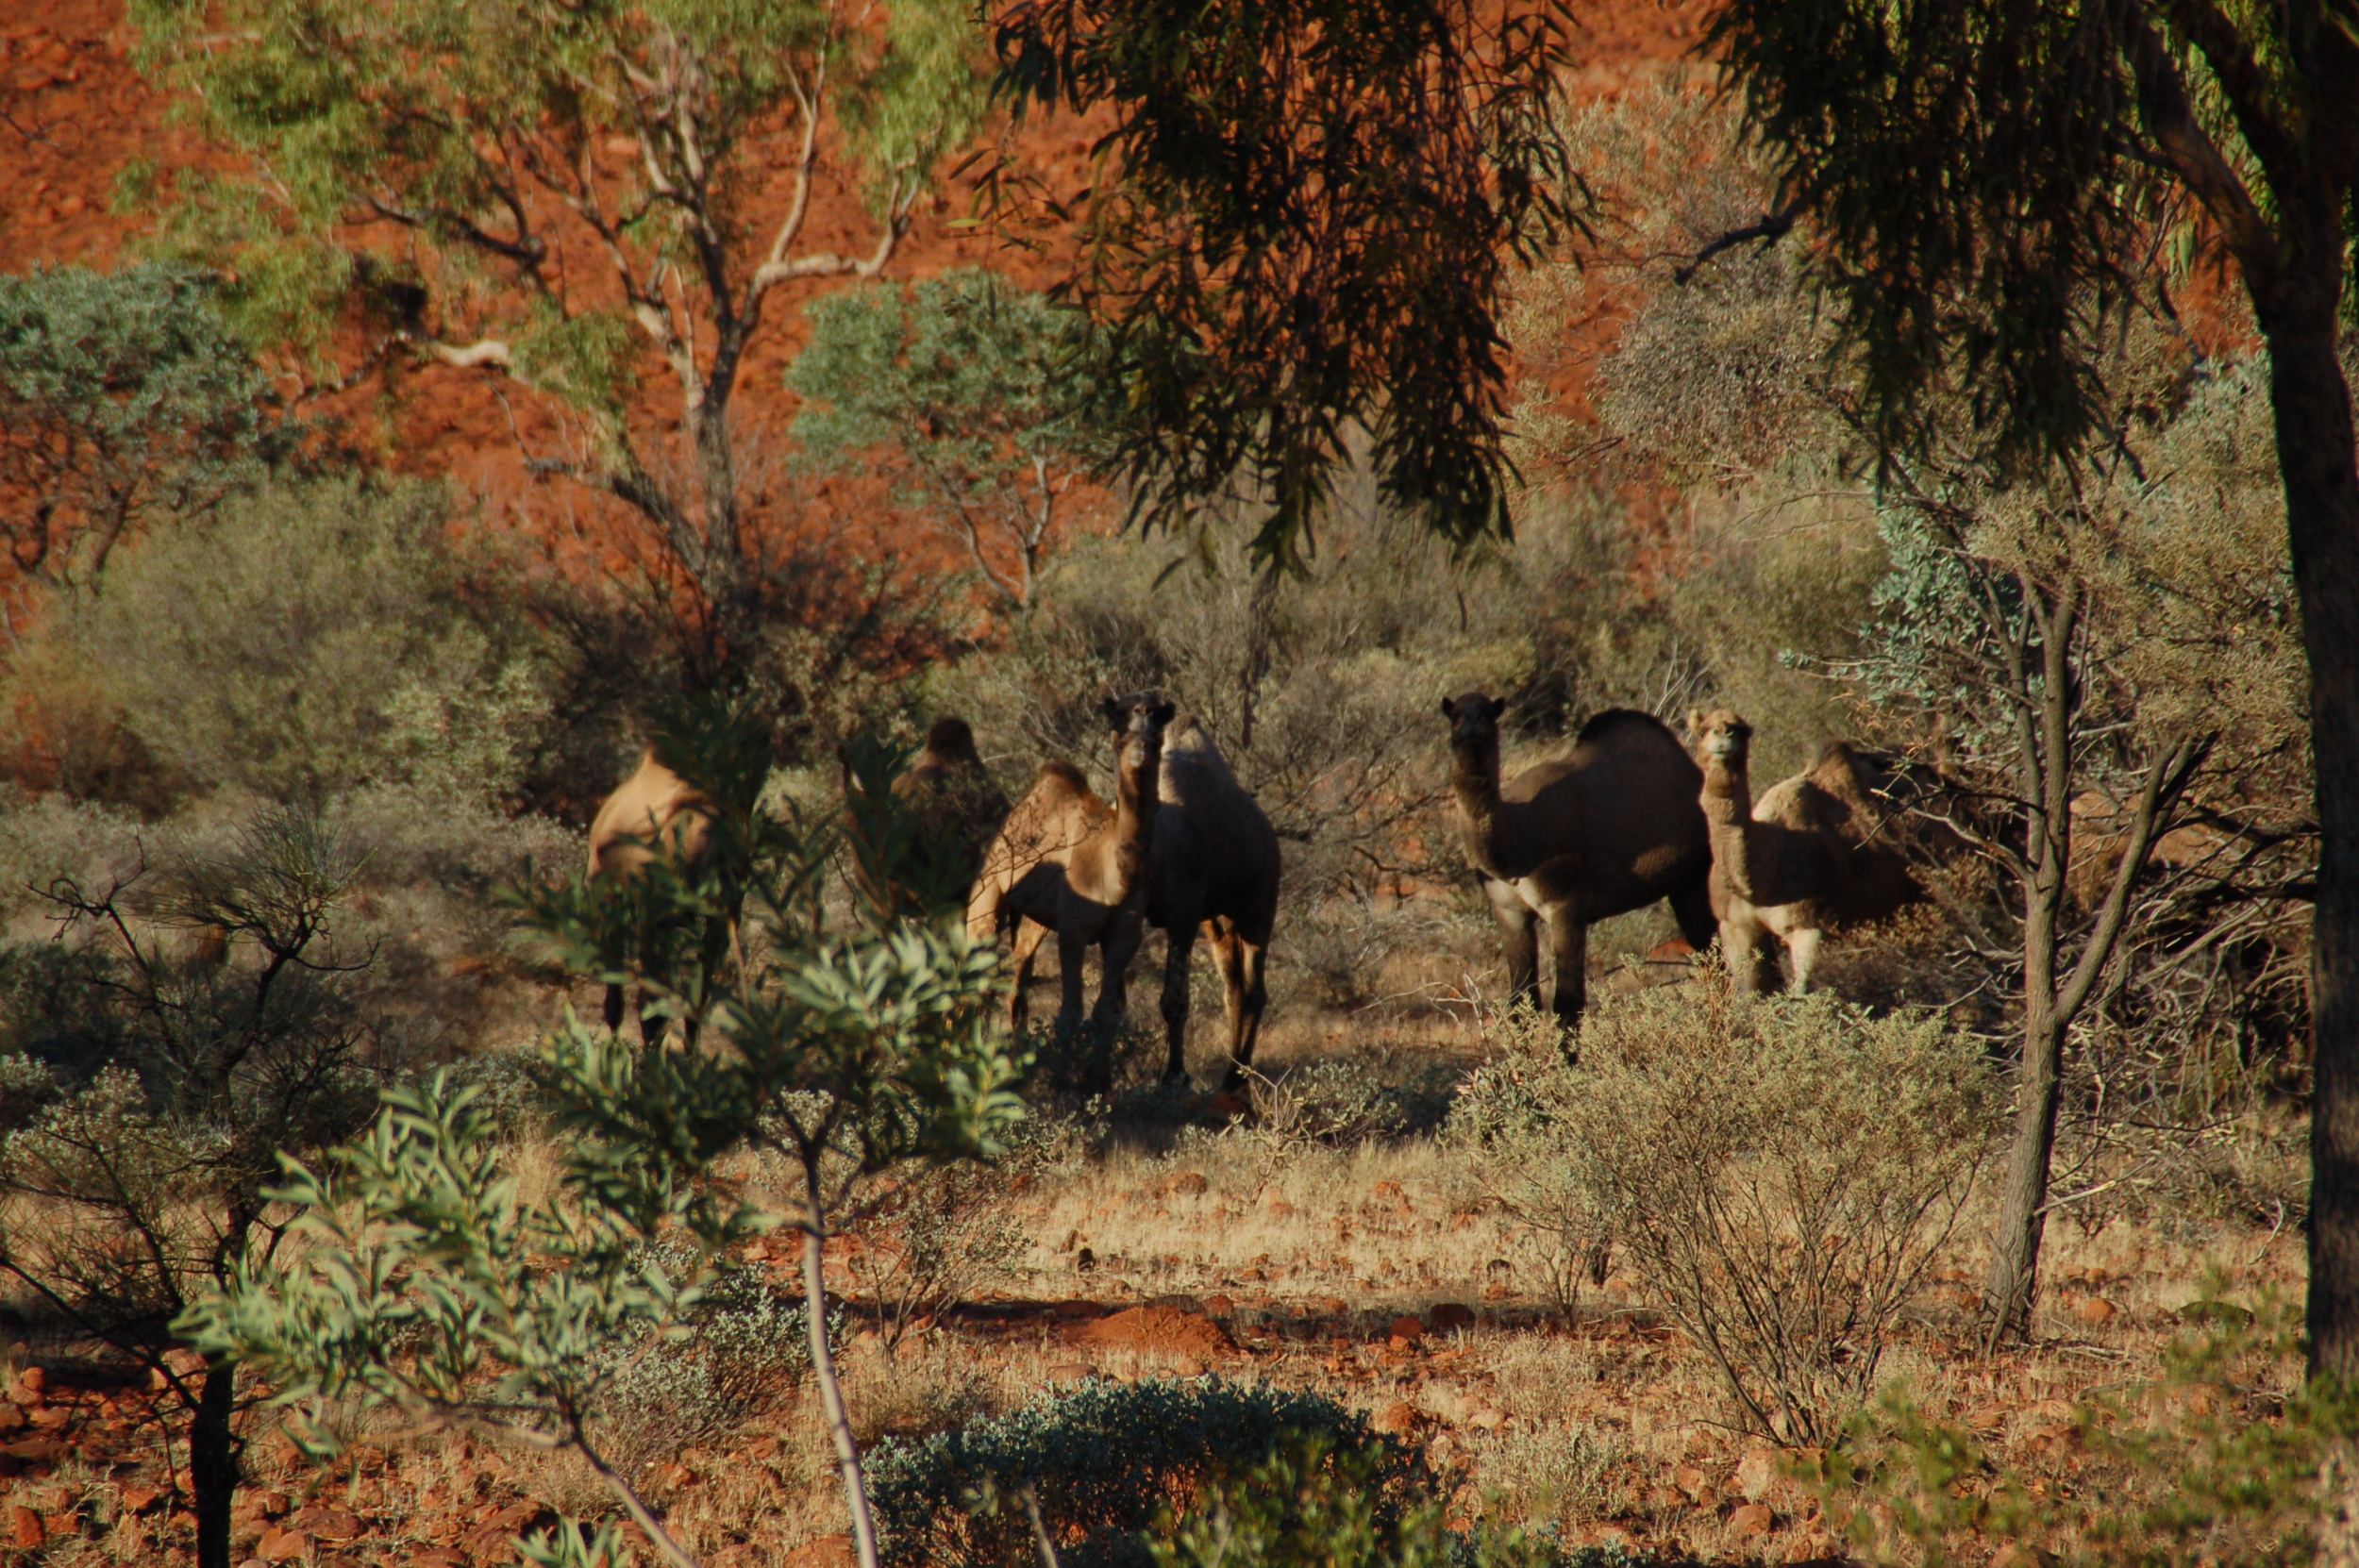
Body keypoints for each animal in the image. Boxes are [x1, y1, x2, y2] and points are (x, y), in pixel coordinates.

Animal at [967, 697, 1170, 1075]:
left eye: (1156, 740)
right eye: (1121, 738)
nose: (1140, 751)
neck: (1116, 878)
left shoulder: (1124, 937)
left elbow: (1106, 1013)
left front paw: (1098, 1079)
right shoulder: (1074, 931)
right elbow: (1070, 1014)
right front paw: (1064, 1078)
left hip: (1034, 917)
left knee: (1015, 975)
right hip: (988, 890)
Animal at [1137, 716, 1283, 1089]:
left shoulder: (1183, 917)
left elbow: (1174, 999)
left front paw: (1175, 1075)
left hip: (1259, 904)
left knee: (1255, 989)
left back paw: (1236, 1076)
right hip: (1218, 921)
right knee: (1234, 990)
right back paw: (1233, 1070)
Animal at [1434, 692, 1717, 1023]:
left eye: (1490, 714)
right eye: (1455, 714)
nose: (1472, 723)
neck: (1515, 840)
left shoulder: (1566, 907)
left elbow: (1568, 1005)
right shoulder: (1508, 911)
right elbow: (1521, 1001)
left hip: (1697, 876)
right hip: (1681, 885)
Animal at [1689, 707, 1925, 990]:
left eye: (1742, 730)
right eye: (1702, 730)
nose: (1724, 734)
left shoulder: (1811, 927)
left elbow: (1801, 993)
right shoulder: (1734, 927)